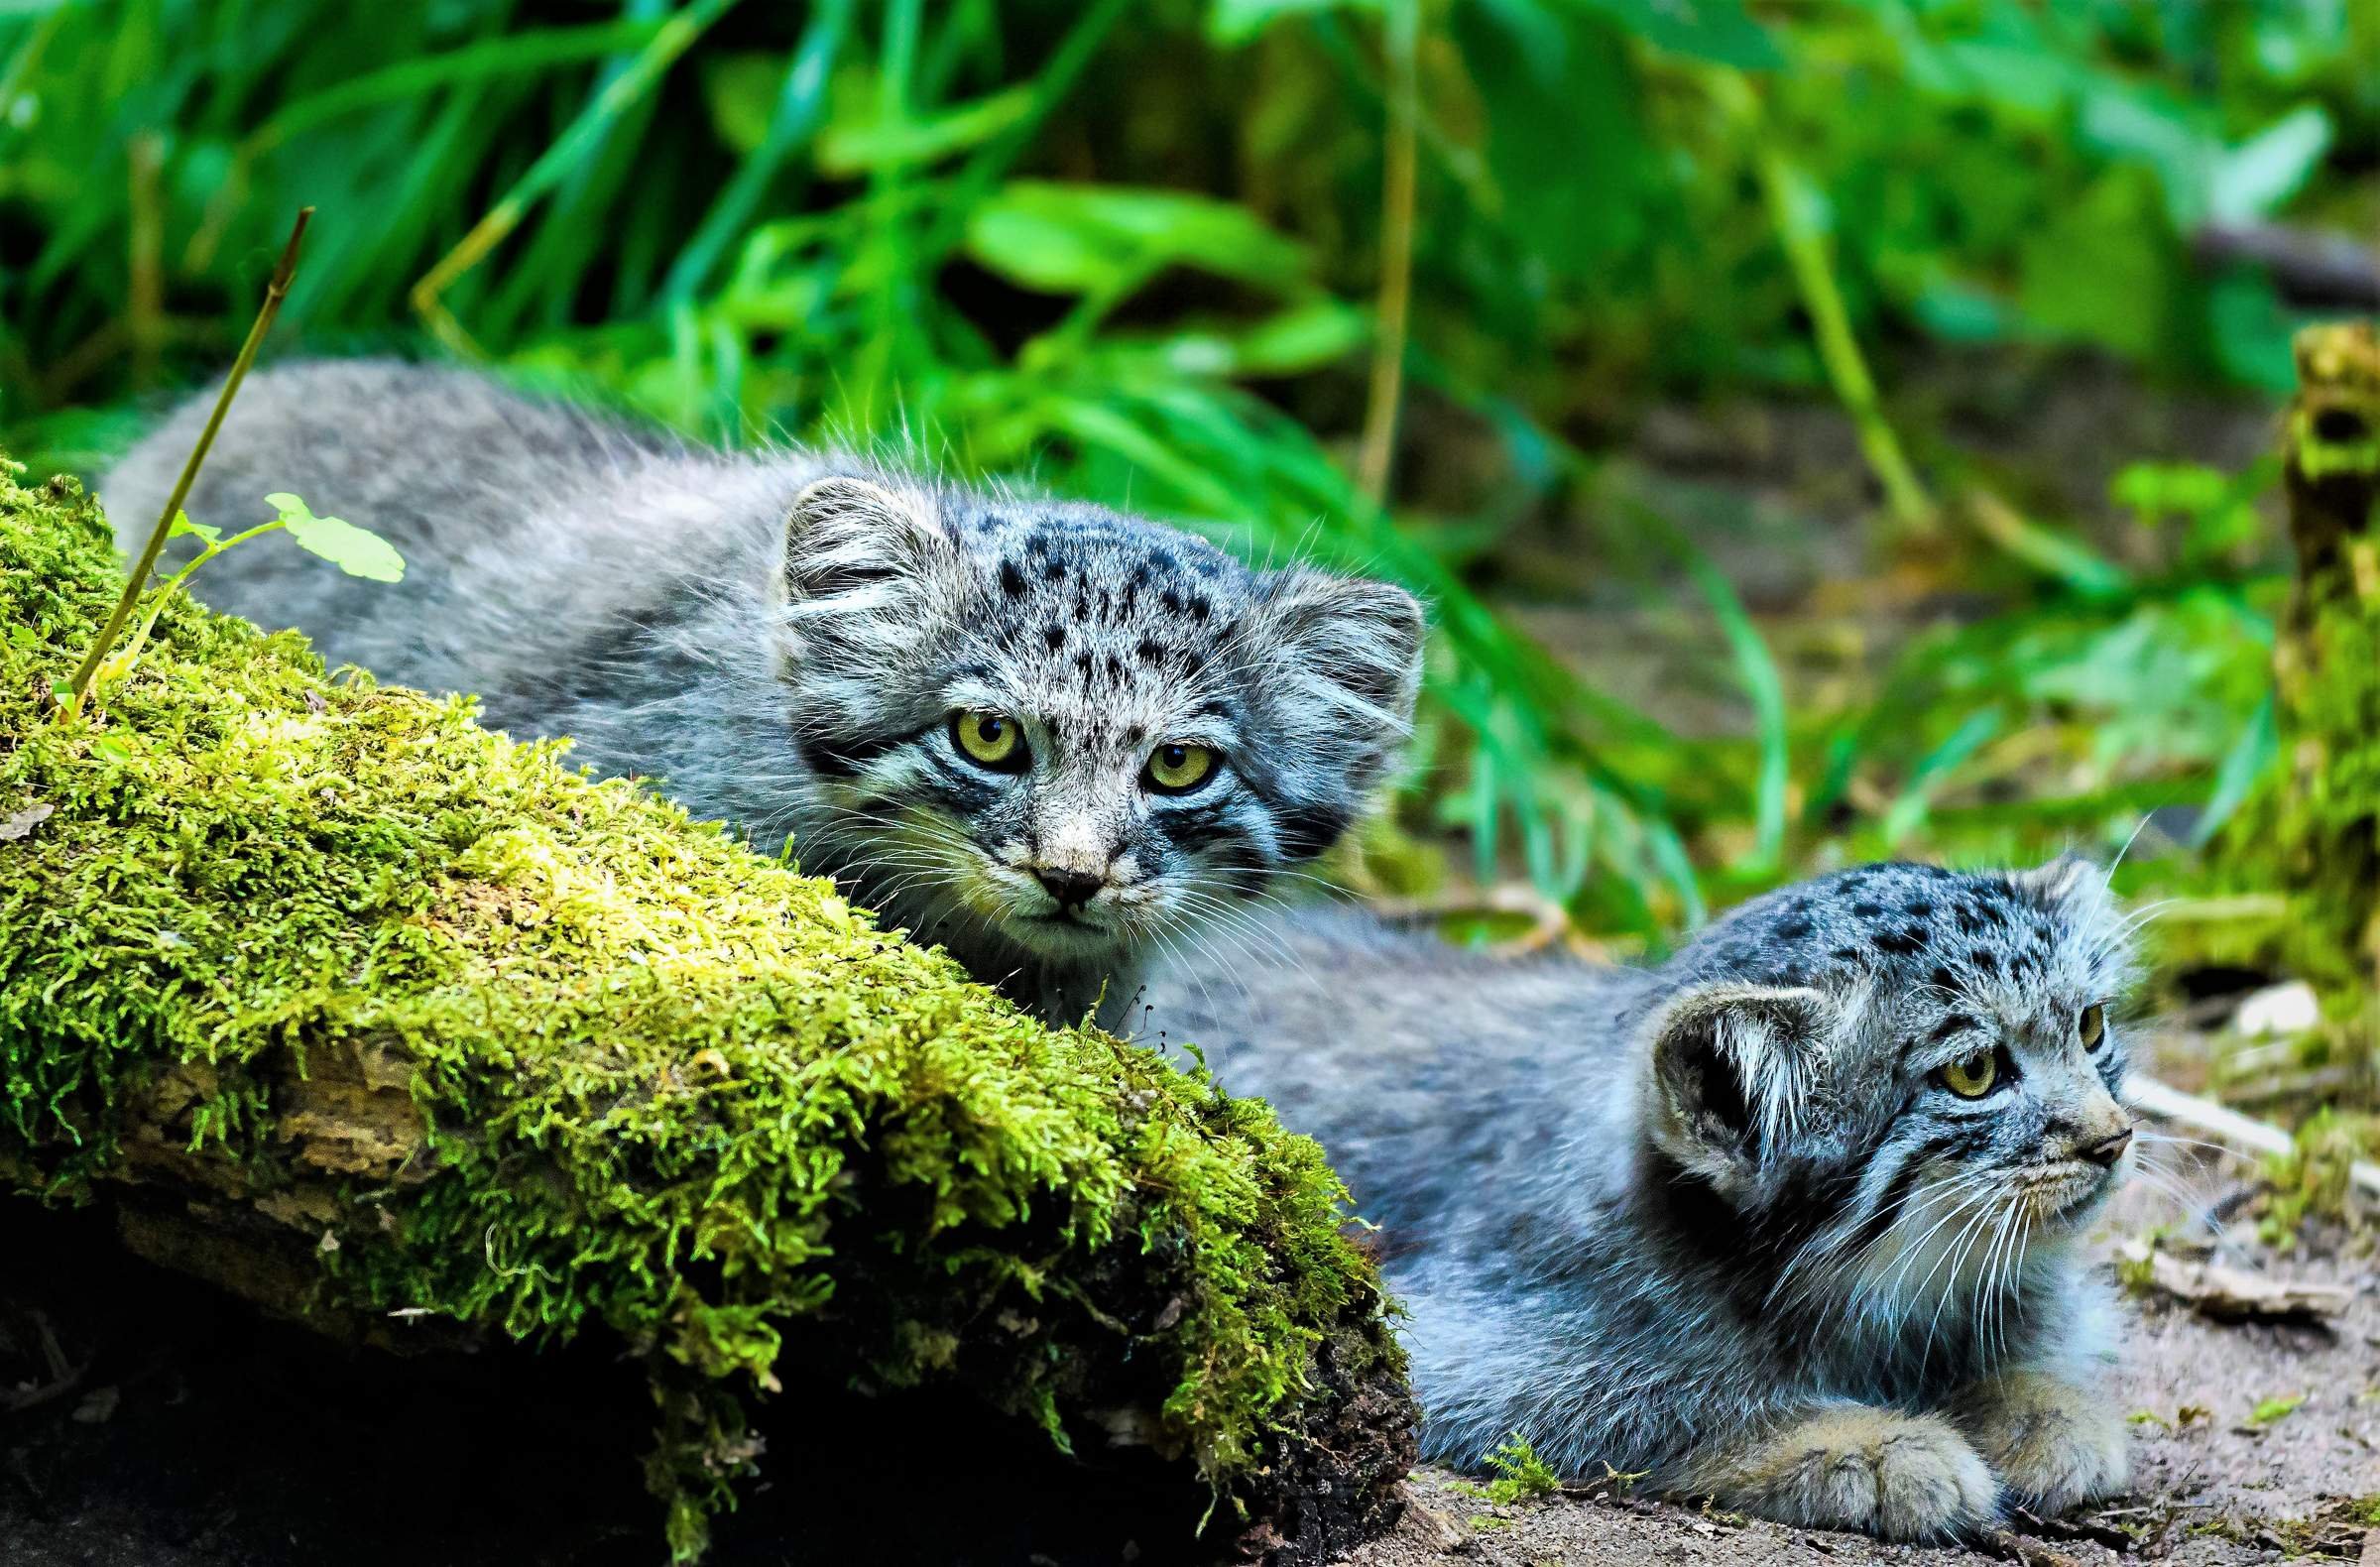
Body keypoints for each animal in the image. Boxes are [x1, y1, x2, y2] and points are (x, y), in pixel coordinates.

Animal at [1142, 847, 2151, 1533]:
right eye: (1975, 1072)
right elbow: (1673, 1397)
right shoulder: (1442, 1339)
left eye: (2091, 1028)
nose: (2114, 1139)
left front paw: (2040, 1402)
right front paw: (1869, 1444)